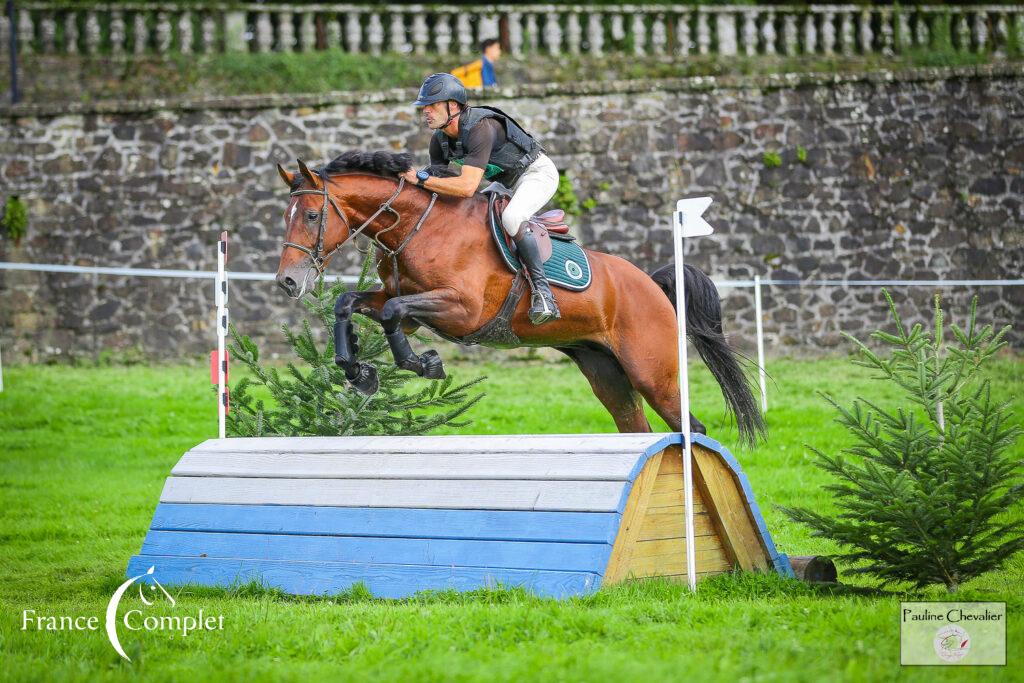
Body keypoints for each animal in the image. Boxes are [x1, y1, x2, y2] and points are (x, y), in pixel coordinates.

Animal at [276, 152, 765, 446]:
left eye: (313, 215)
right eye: (286, 216)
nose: (288, 282)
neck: (417, 227)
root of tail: (651, 283)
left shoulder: (463, 310)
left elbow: (394, 312)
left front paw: (423, 364)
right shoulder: (408, 305)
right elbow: (348, 302)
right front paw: (358, 371)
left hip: (652, 373)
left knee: (691, 427)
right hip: (605, 372)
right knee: (635, 426)